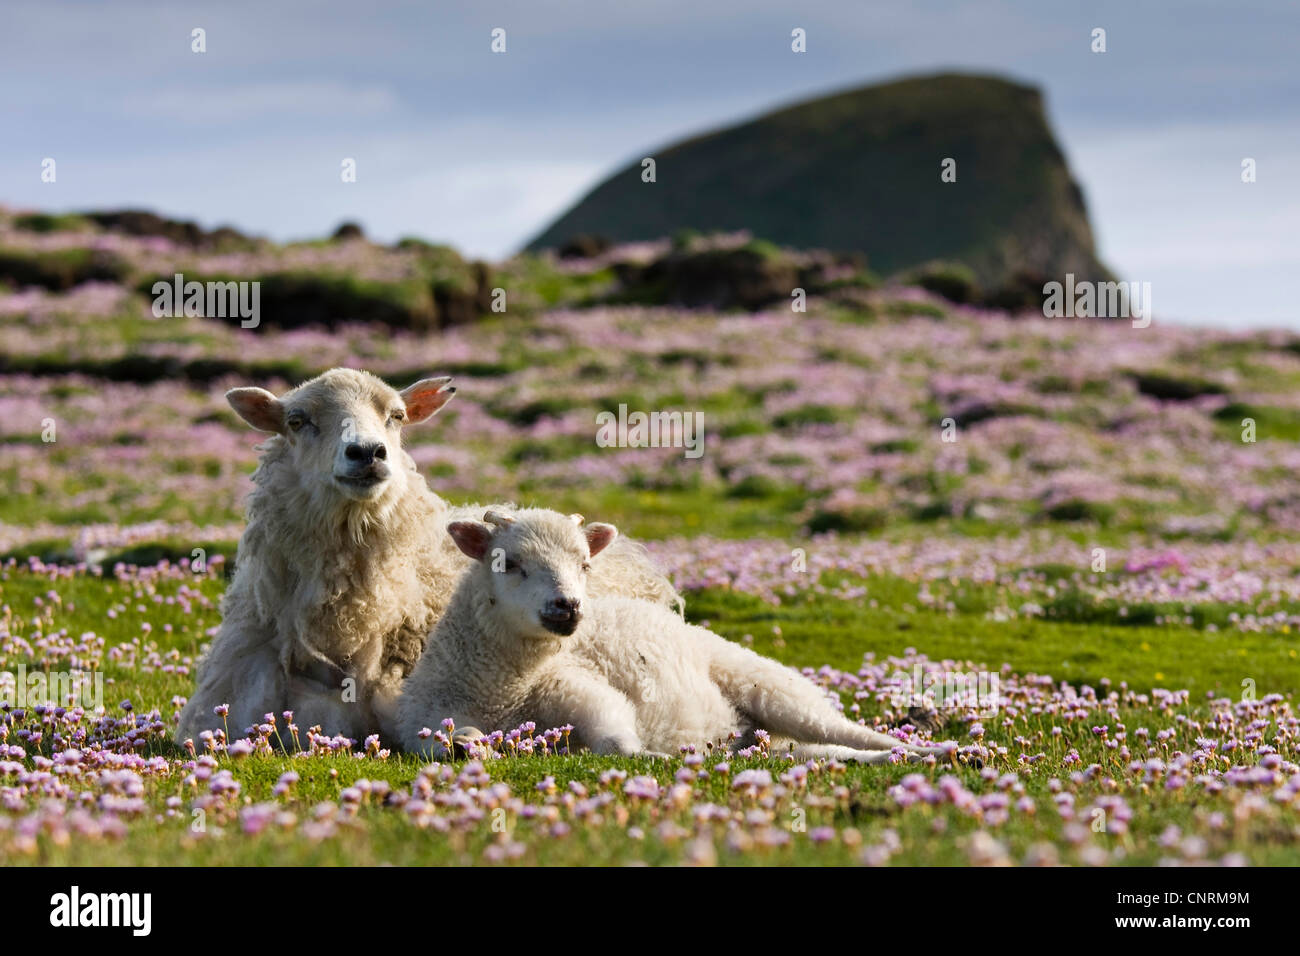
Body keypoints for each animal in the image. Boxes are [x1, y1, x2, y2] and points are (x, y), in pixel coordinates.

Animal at [395, 509, 956, 764]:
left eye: (585, 564)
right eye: (507, 563)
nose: (567, 607)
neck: (502, 692)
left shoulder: (583, 691)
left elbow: (617, 743)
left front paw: (661, 759)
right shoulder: (422, 725)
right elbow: (450, 742)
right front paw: (469, 747)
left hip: (773, 689)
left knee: (853, 734)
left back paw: (929, 751)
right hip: (775, 740)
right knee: (822, 753)